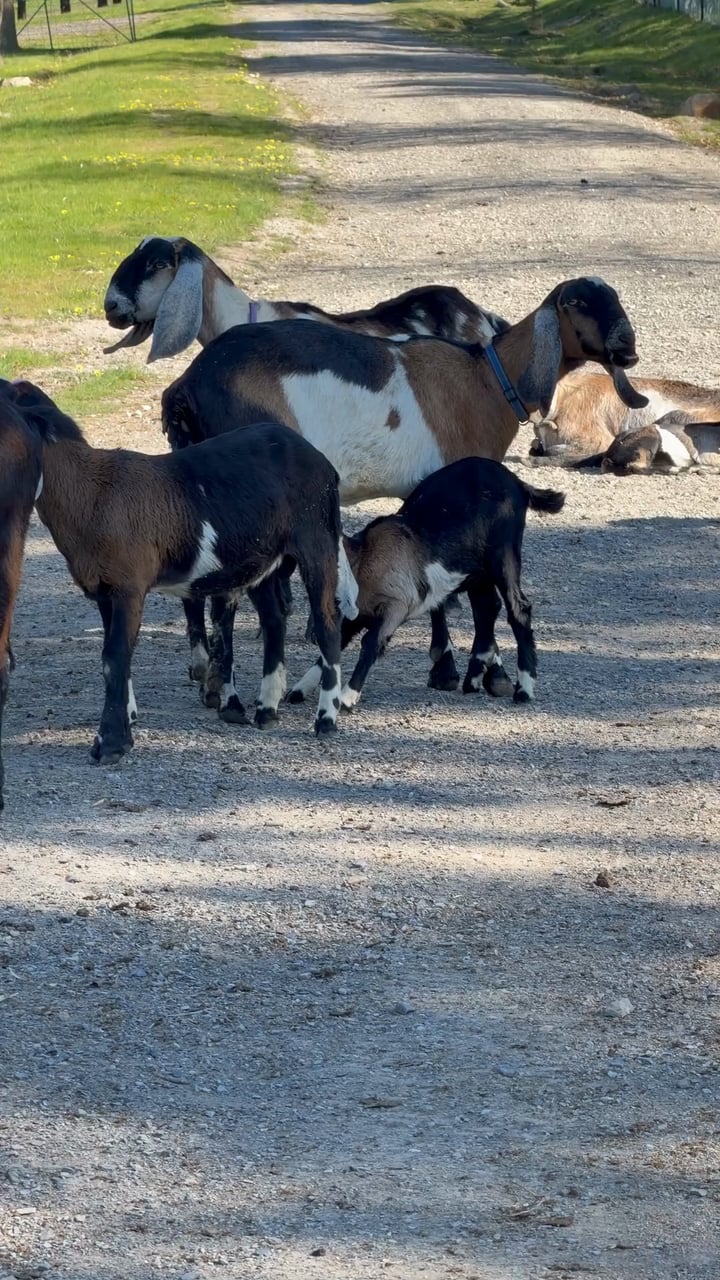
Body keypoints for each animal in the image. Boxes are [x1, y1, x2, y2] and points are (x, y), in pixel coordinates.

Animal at [0, 379, 357, 764]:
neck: (92, 494)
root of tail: (318, 458)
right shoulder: (104, 589)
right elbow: (115, 657)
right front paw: (126, 723)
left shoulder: (129, 584)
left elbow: (114, 657)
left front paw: (110, 743)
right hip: (260, 555)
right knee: (274, 618)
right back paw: (266, 709)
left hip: (316, 538)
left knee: (327, 621)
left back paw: (325, 719)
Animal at [289, 458, 564, 712]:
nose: (311, 633)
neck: (366, 556)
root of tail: (518, 483)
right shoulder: (356, 616)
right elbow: (337, 643)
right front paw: (300, 688)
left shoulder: (396, 605)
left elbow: (371, 642)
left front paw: (347, 696)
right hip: (478, 570)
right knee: (486, 607)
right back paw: (476, 674)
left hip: (503, 555)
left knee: (517, 608)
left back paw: (524, 689)